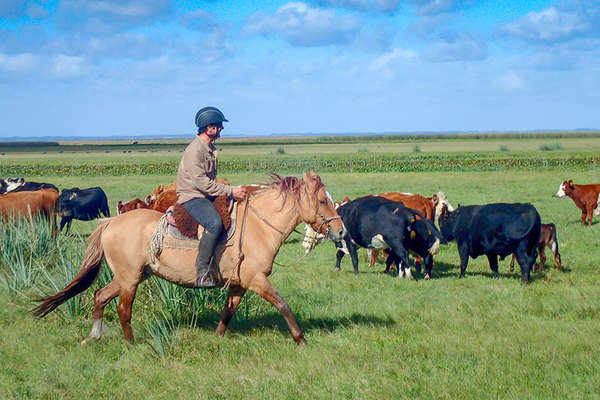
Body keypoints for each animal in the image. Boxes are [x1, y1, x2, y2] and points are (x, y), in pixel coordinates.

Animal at [34, 173, 342, 346]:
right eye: (322, 201)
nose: (341, 231)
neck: (258, 226)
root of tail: (110, 222)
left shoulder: (239, 283)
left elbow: (228, 311)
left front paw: (217, 338)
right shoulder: (256, 280)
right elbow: (282, 304)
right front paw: (300, 339)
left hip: (131, 276)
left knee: (99, 296)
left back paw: (95, 336)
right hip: (130, 278)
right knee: (123, 308)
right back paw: (131, 344)